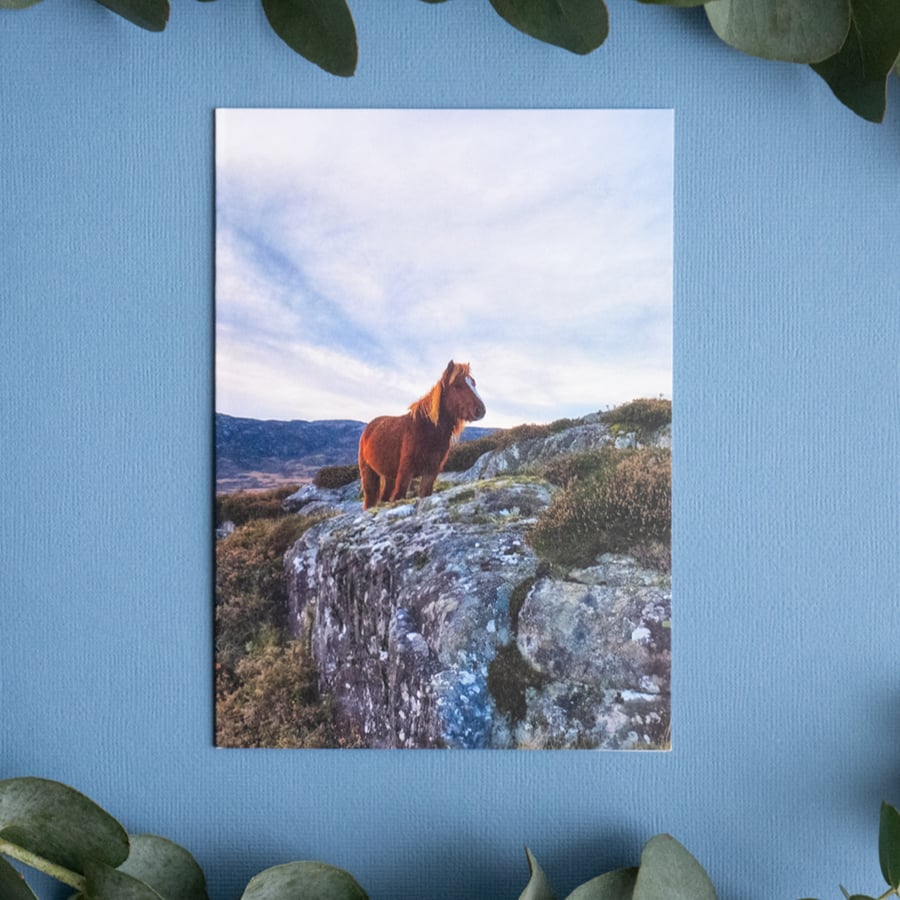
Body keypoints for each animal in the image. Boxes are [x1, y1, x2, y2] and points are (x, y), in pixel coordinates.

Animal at [358, 360, 486, 510]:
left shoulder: (431, 471)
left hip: (389, 476)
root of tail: (369, 428)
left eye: (473, 383)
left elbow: (424, 493)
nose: (481, 410)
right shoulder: (405, 472)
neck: (426, 430)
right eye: (457, 385)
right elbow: (398, 495)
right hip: (369, 475)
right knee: (370, 500)